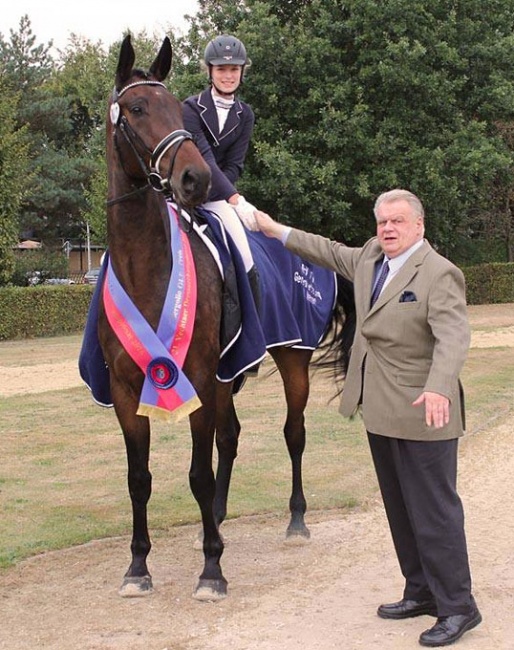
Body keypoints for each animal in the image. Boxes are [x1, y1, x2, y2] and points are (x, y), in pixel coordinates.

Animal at [92, 34, 354, 604]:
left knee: (292, 433)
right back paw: (213, 521)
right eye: (138, 110)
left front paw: (212, 570)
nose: (194, 178)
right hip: (226, 377)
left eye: (177, 110)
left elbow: (198, 473)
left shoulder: (196, 378)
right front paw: (138, 567)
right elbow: (139, 478)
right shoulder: (125, 389)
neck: (146, 268)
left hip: (289, 360)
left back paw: (295, 522)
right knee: (229, 437)